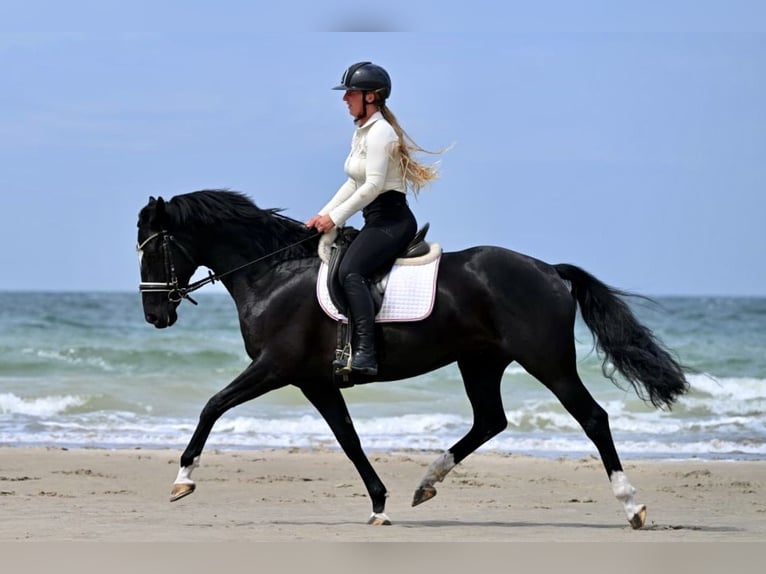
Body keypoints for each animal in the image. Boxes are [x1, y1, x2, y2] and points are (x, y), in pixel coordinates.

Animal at [136, 189, 688, 529]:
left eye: (151, 249)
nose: (154, 315)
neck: (274, 274)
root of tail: (549, 270)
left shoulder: (276, 368)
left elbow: (213, 404)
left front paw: (183, 480)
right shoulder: (316, 381)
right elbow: (349, 438)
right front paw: (380, 504)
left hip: (547, 362)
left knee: (592, 417)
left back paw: (632, 505)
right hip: (480, 362)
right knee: (490, 420)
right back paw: (426, 483)